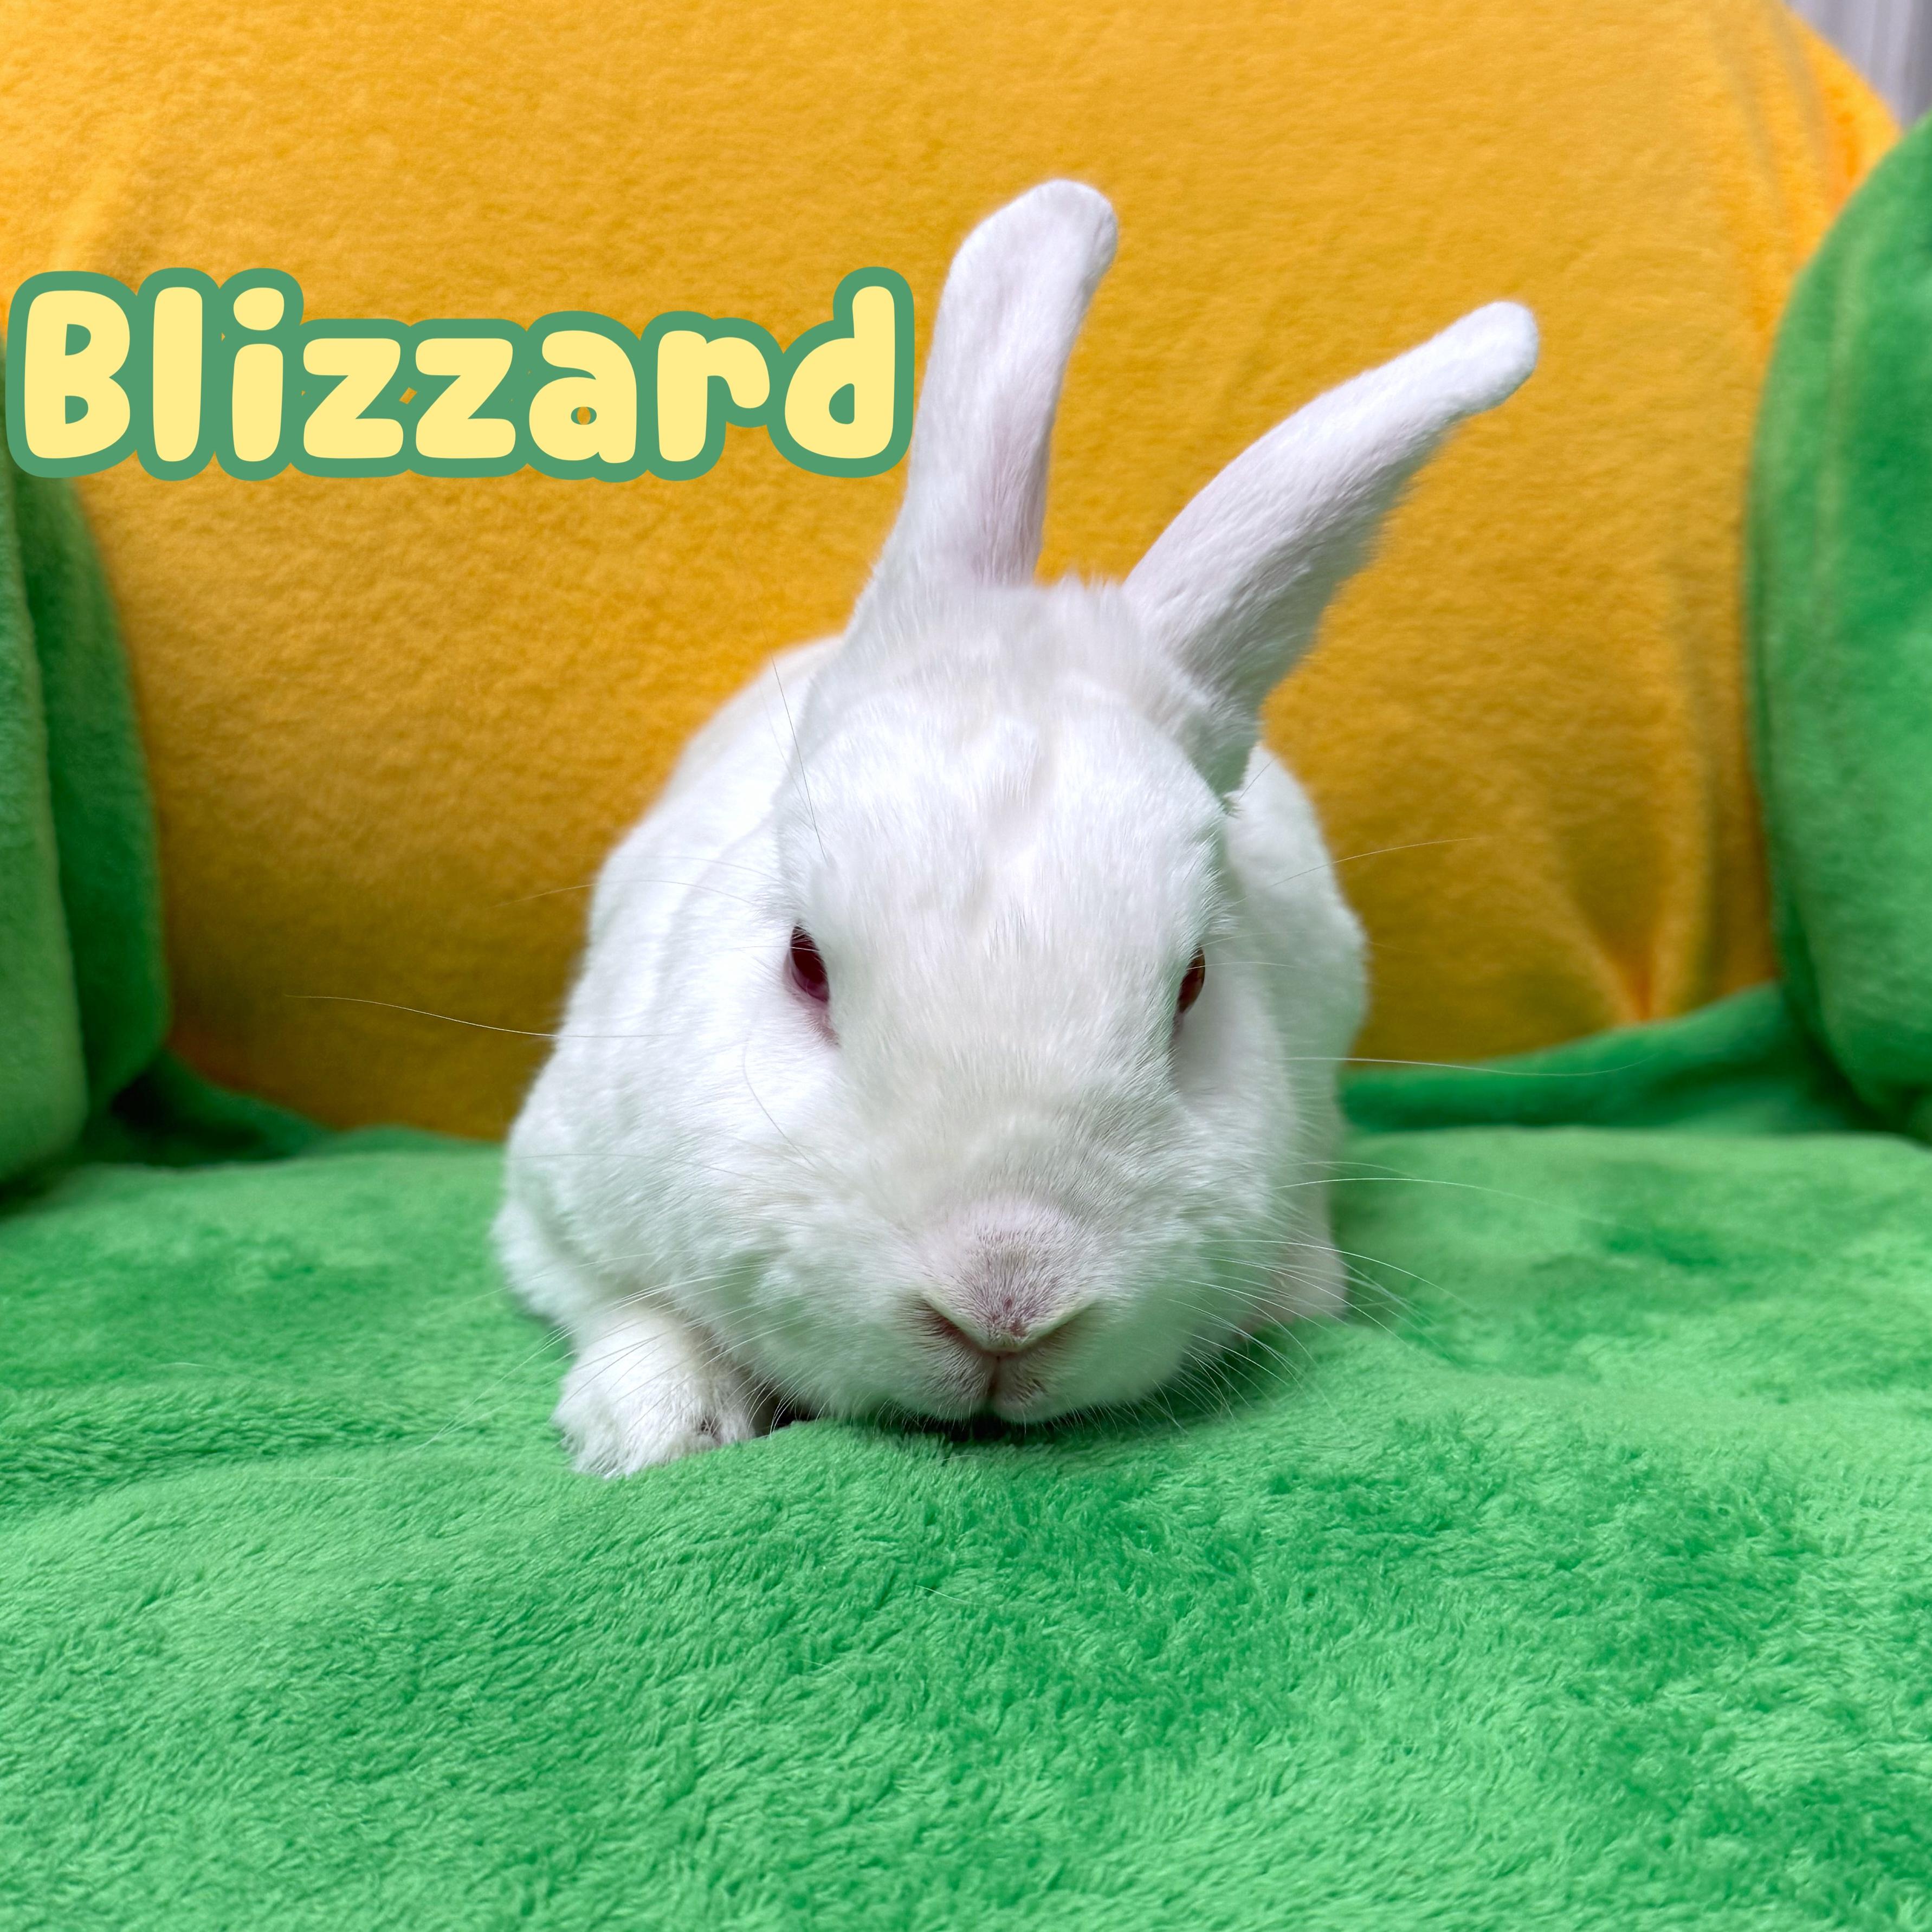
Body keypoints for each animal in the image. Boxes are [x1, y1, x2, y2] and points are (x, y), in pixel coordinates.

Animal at [494, 180, 1537, 1474]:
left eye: (1193, 985)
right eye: (804, 964)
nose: (1005, 1299)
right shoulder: (549, 1198)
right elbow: (620, 1303)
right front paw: (660, 1429)